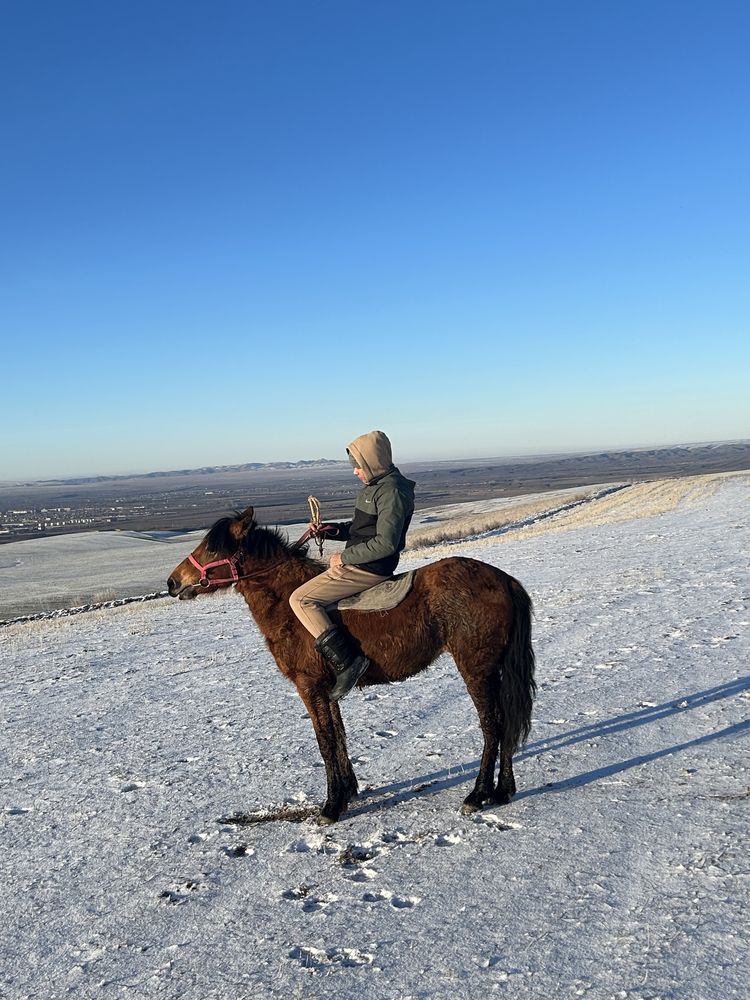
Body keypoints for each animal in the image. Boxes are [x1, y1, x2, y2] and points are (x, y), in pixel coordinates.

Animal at [167, 504, 536, 824]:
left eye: (212, 549)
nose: (173, 583)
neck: (288, 602)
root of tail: (504, 580)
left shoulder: (309, 687)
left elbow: (325, 742)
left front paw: (331, 807)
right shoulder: (328, 689)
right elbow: (339, 736)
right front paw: (347, 792)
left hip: (476, 668)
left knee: (492, 725)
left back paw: (478, 794)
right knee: (505, 721)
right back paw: (503, 790)